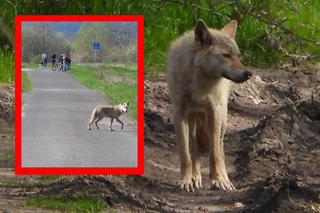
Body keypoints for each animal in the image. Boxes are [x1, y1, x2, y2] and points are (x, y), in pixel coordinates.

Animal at [166, 19, 251, 191]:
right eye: (226, 55)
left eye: (237, 56)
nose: (248, 74)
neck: (199, 80)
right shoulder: (179, 114)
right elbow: (185, 154)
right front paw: (186, 181)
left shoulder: (214, 111)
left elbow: (214, 153)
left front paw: (218, 180)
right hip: (193, 119)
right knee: (194, 147)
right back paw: (195, 178)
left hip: (222, 118)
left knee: (220, 148)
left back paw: (225, 179)